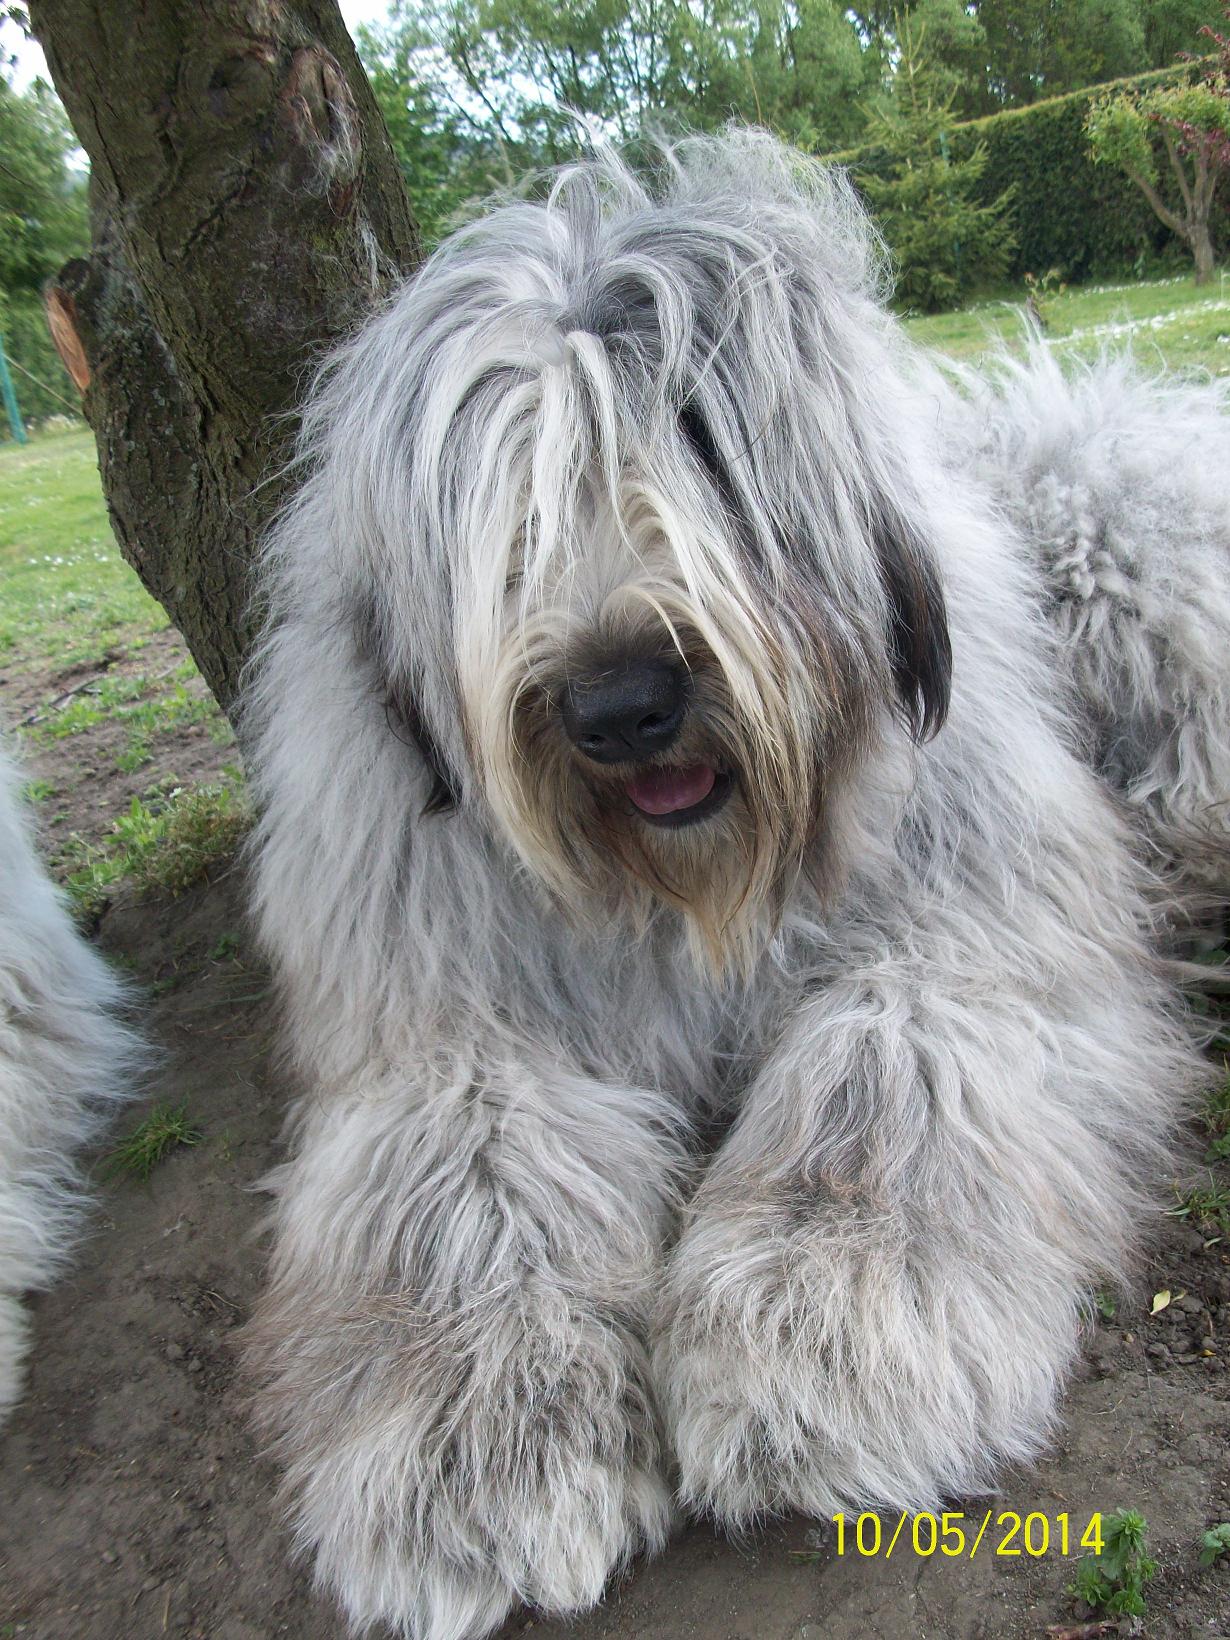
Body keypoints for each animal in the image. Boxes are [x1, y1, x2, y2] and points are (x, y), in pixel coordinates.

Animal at [242, 132, 1227, 1640]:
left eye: (698, 437)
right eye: (500, 494)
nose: (621, 704)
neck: (687, 886)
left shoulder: (972, 928)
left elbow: (884, 1067)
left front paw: (818, 1332)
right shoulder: (440, 1023)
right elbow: (460, 1167)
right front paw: (483, 1441)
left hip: (1121, 536)